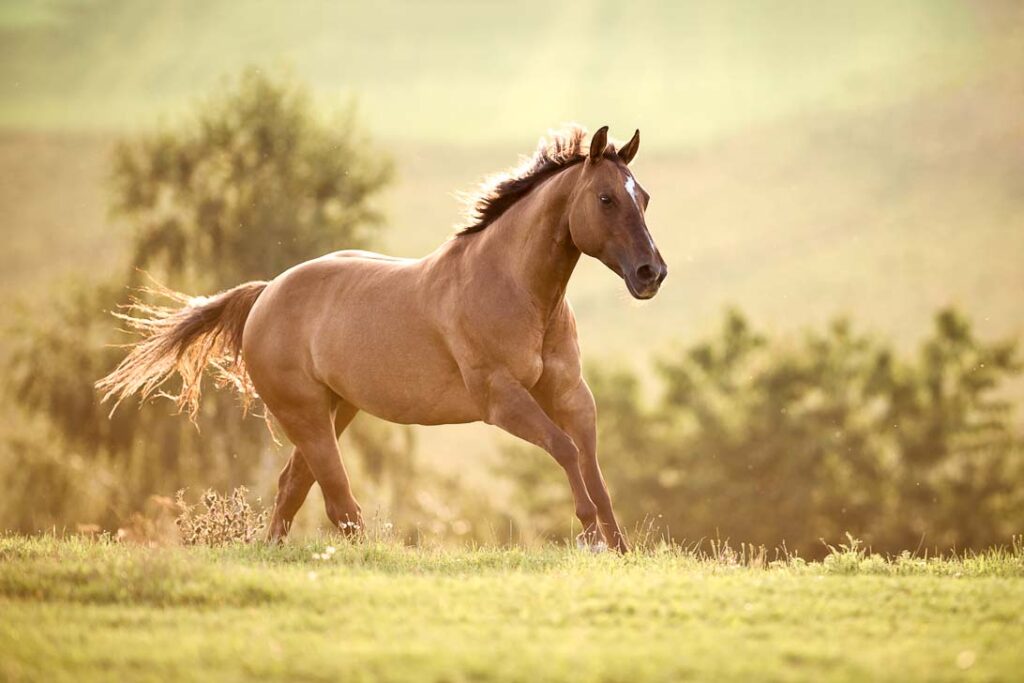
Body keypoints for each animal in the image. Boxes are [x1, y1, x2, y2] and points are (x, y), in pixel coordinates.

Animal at [97, 125, 667, 552]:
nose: (650, 273)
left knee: (293, 487)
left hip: (336, 410)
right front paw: (591, 534)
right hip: (306, 414)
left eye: (643, 197)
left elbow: (591, 462)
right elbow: (566, 450)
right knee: (336, 501)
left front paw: (618, 547)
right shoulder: (501, 399)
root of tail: (265, 294)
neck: (517, 289)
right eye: (605, 198)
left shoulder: (571, 394)